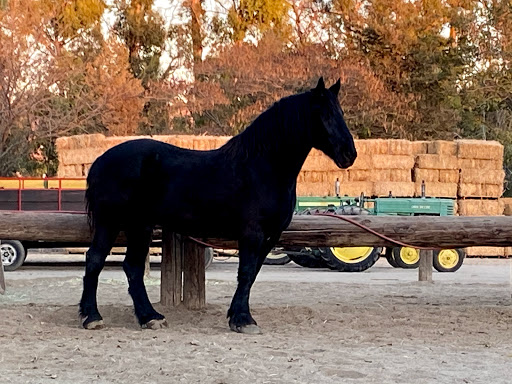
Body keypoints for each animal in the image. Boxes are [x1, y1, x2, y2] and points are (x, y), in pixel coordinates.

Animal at [82, 77, 358, 332]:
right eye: (324, 114)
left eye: (340, 113)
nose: (350, 154)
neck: (262, 167)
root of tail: (99, 161)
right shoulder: (252, 233)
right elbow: (246, 272)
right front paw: (244, 320)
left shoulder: (270, 236)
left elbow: (252, 274)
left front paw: (236, 315)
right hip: (113, 223)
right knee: (96, 260)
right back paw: (93, 317)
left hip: (139, 226)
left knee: (131, 267)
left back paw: (149, 317)